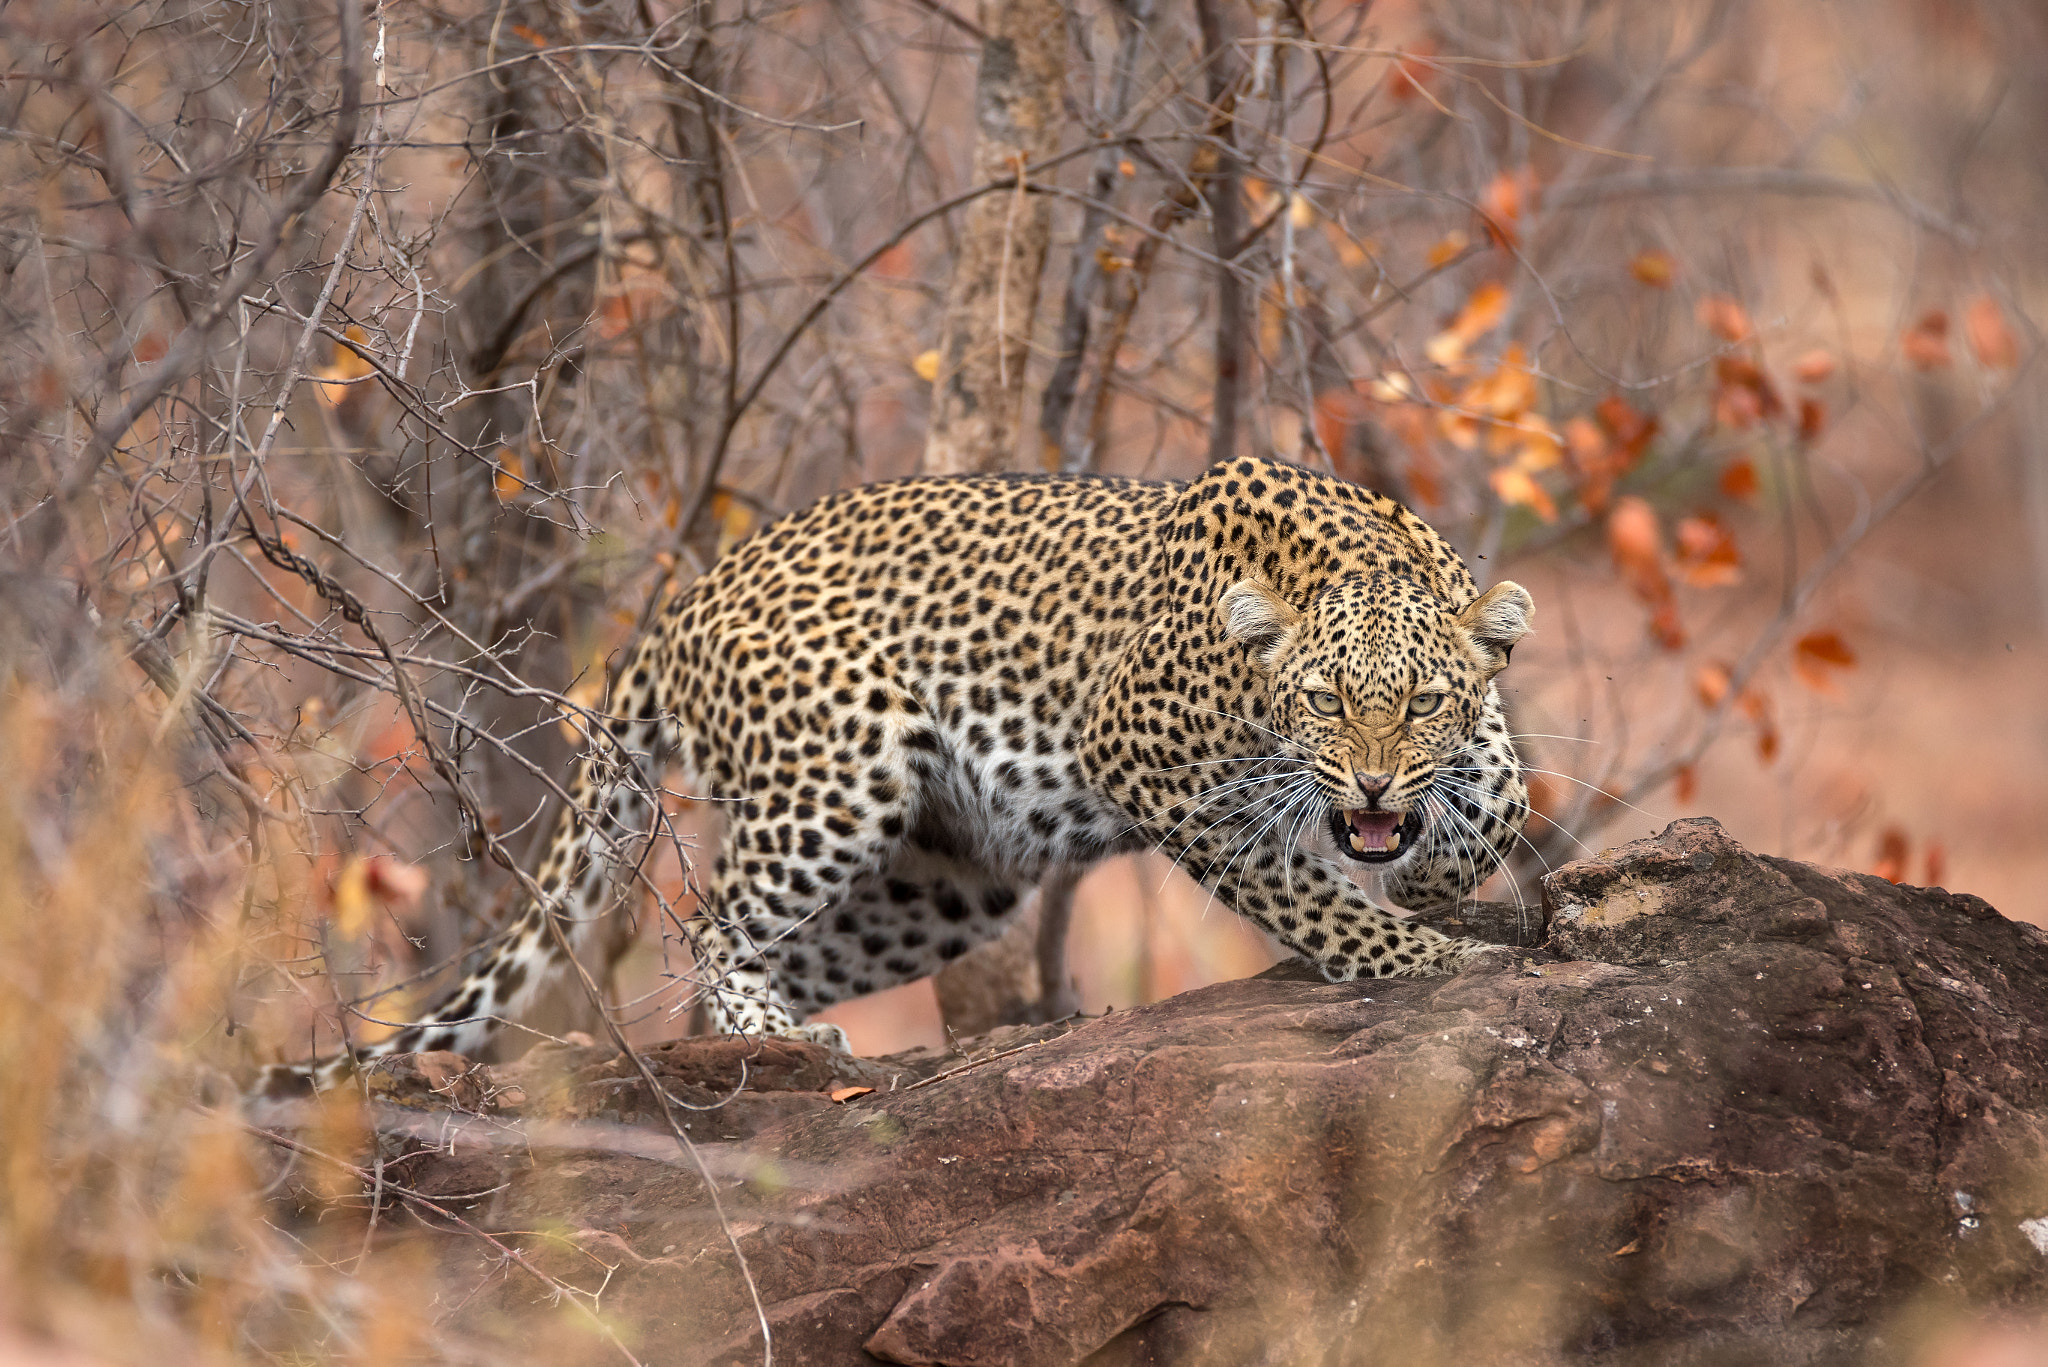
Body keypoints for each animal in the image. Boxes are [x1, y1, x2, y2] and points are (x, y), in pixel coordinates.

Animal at [272, 459, 1531, 1090]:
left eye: (1419, 702)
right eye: (1322, 702)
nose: (1370, 790)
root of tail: (684, 596)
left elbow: (1502, 788)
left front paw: (1438, 876)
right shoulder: (1143, 759)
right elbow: (1307, 893)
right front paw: (1424, 956)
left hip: (950, 878)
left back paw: (766, 1037)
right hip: (841, 773)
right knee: (711, 923)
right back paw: (773, 1035)